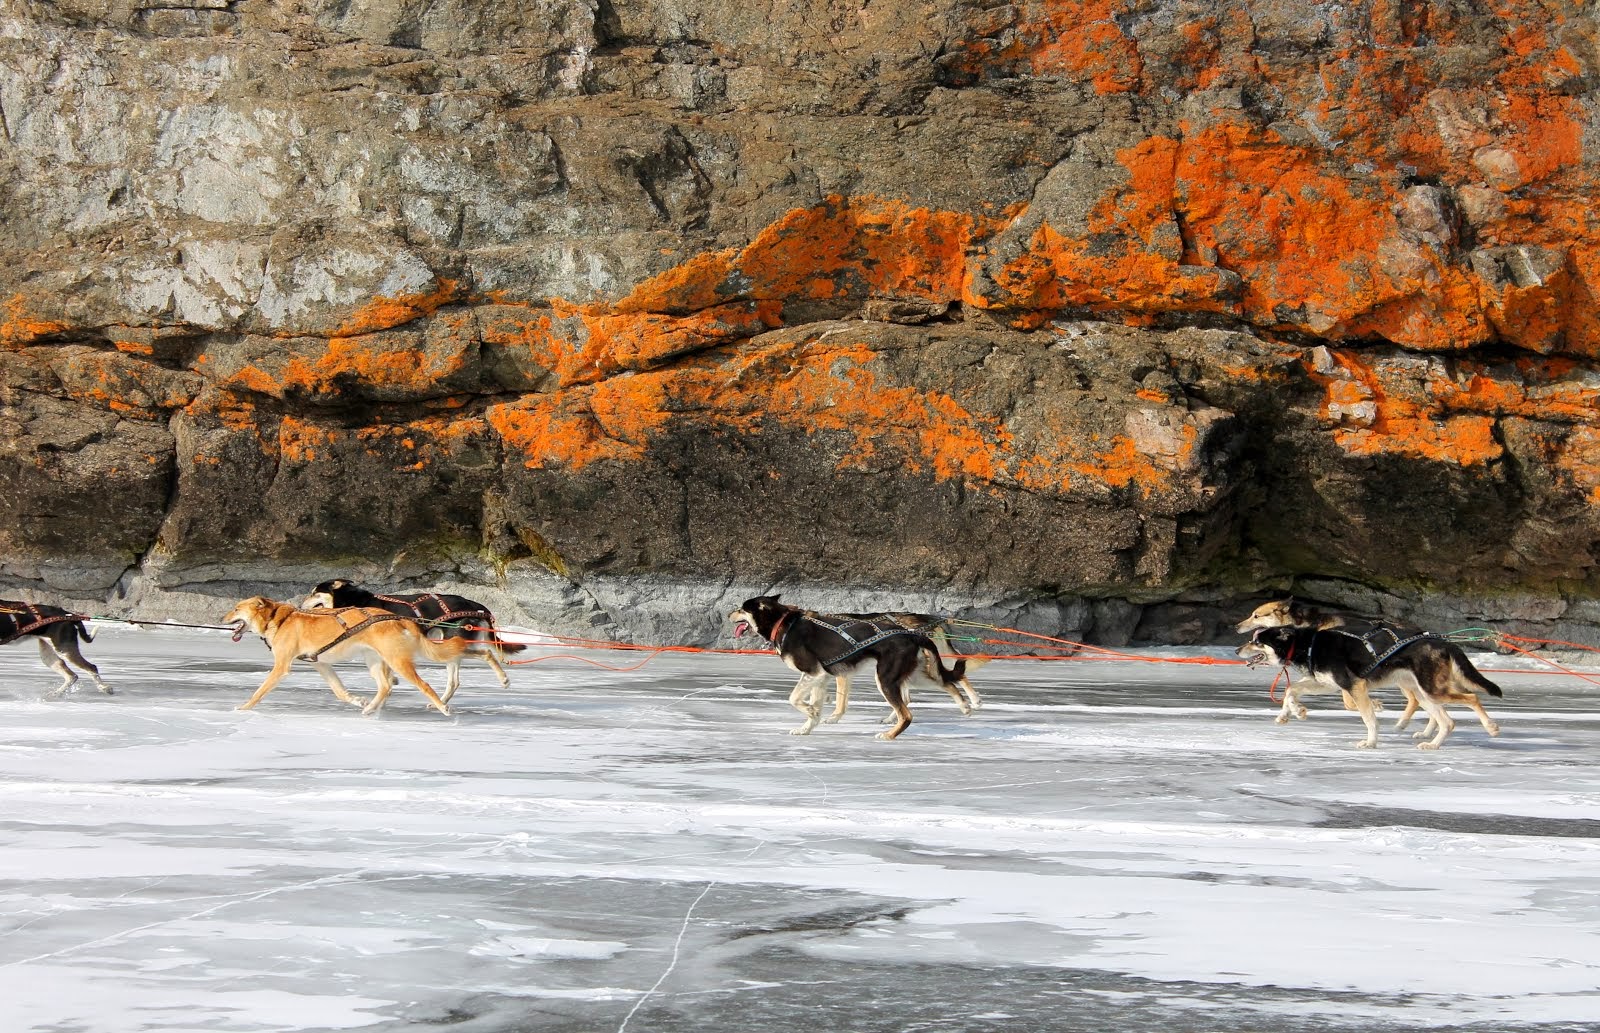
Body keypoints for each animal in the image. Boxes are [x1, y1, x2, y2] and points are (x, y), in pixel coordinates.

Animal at [225, 598, 473, 719]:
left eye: (236, 608)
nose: (222, 618)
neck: (279, 619)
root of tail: (397, 618)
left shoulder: (281, 667)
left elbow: (258, 692)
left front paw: (244, 708)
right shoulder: (322, 665)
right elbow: (340, 692)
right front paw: (357, 701)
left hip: (397, 662)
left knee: (424, 685)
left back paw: (442, 707)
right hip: (374, 662)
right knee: (385, 686)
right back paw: (370, 708)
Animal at [729, 594, 972, 741]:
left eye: (741, 608)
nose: (729, 614)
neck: (783, 624)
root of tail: (913, 634)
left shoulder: (812, 673)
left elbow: (794, 698)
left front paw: (810, 712)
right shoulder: (821, 677)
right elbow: (816, 707)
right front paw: (807, 727)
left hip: (885, 680)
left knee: (907, 714)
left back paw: (889, 735)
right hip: (913, 675)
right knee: (948, 682)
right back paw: (965, 706)